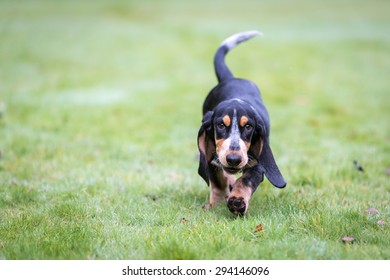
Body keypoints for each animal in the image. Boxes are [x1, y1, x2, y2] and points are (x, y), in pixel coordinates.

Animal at [198, 30, 286, 215]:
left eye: (248, 127)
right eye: (220, 125)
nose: (233, 159)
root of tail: (231, 78)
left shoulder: (259, 164)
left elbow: (246, 180)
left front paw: (237, 199)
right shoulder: (210, 155)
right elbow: (218, 182)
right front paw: (216, 203)